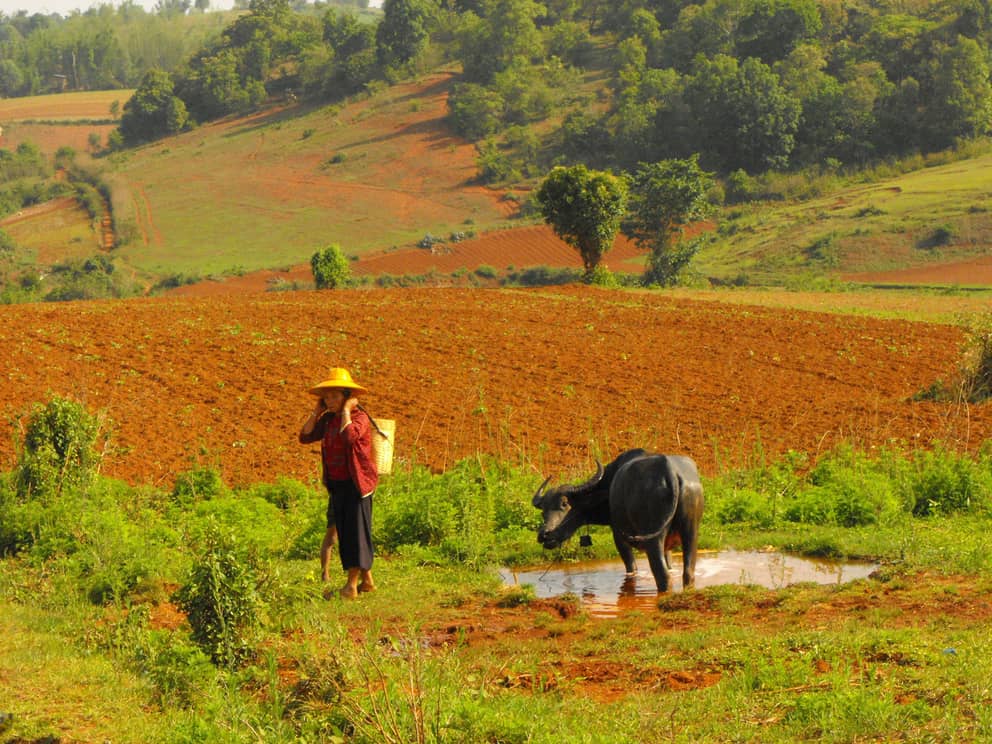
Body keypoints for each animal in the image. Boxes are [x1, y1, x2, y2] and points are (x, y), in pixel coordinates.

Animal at [536, 448, 704, 592]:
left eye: (564, 504)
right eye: (543, 510)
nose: (544, 534)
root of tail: (670, 472)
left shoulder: (618, 536)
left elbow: (631, 567)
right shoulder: (667, 547)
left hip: (653, 538)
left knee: (662, 575)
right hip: (691, 532)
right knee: (688, 573)